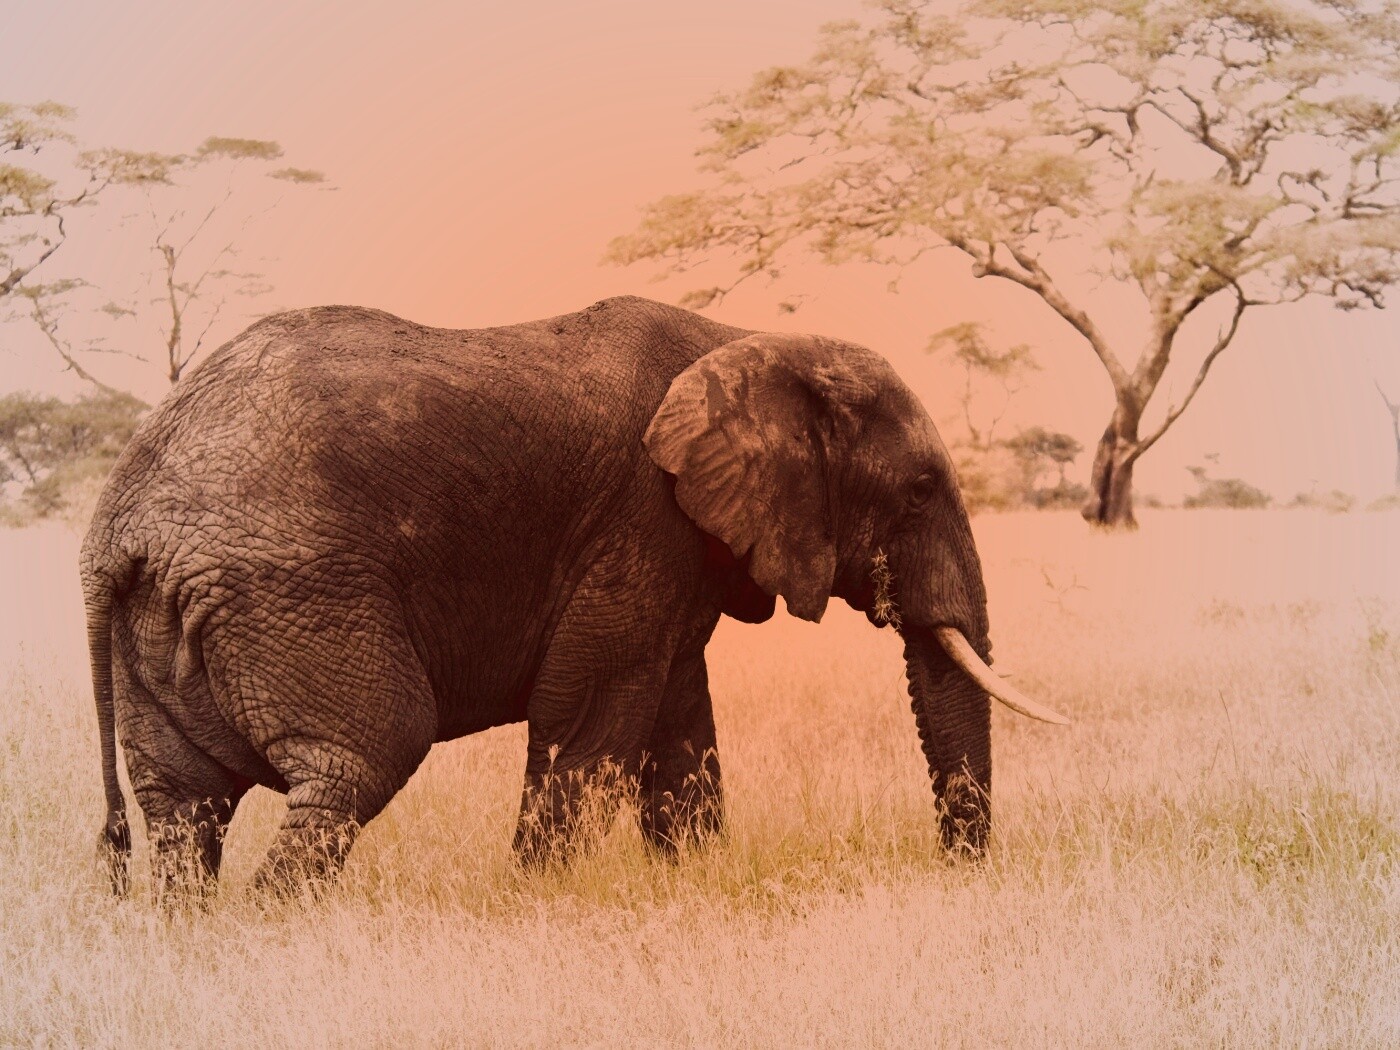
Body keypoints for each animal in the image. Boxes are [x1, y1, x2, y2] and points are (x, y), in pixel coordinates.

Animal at [81, 295, 1066, 897]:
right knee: (362, 756)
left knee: (184, 806)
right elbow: (590, 713)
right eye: (920, 490)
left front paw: (691, 884)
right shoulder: (640, 518)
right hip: (290, 590)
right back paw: (275, 930)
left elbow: (678, 723)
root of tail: (117, 521)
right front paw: (538, 901)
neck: (747, 339)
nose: (957, 873)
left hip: (169, 618)